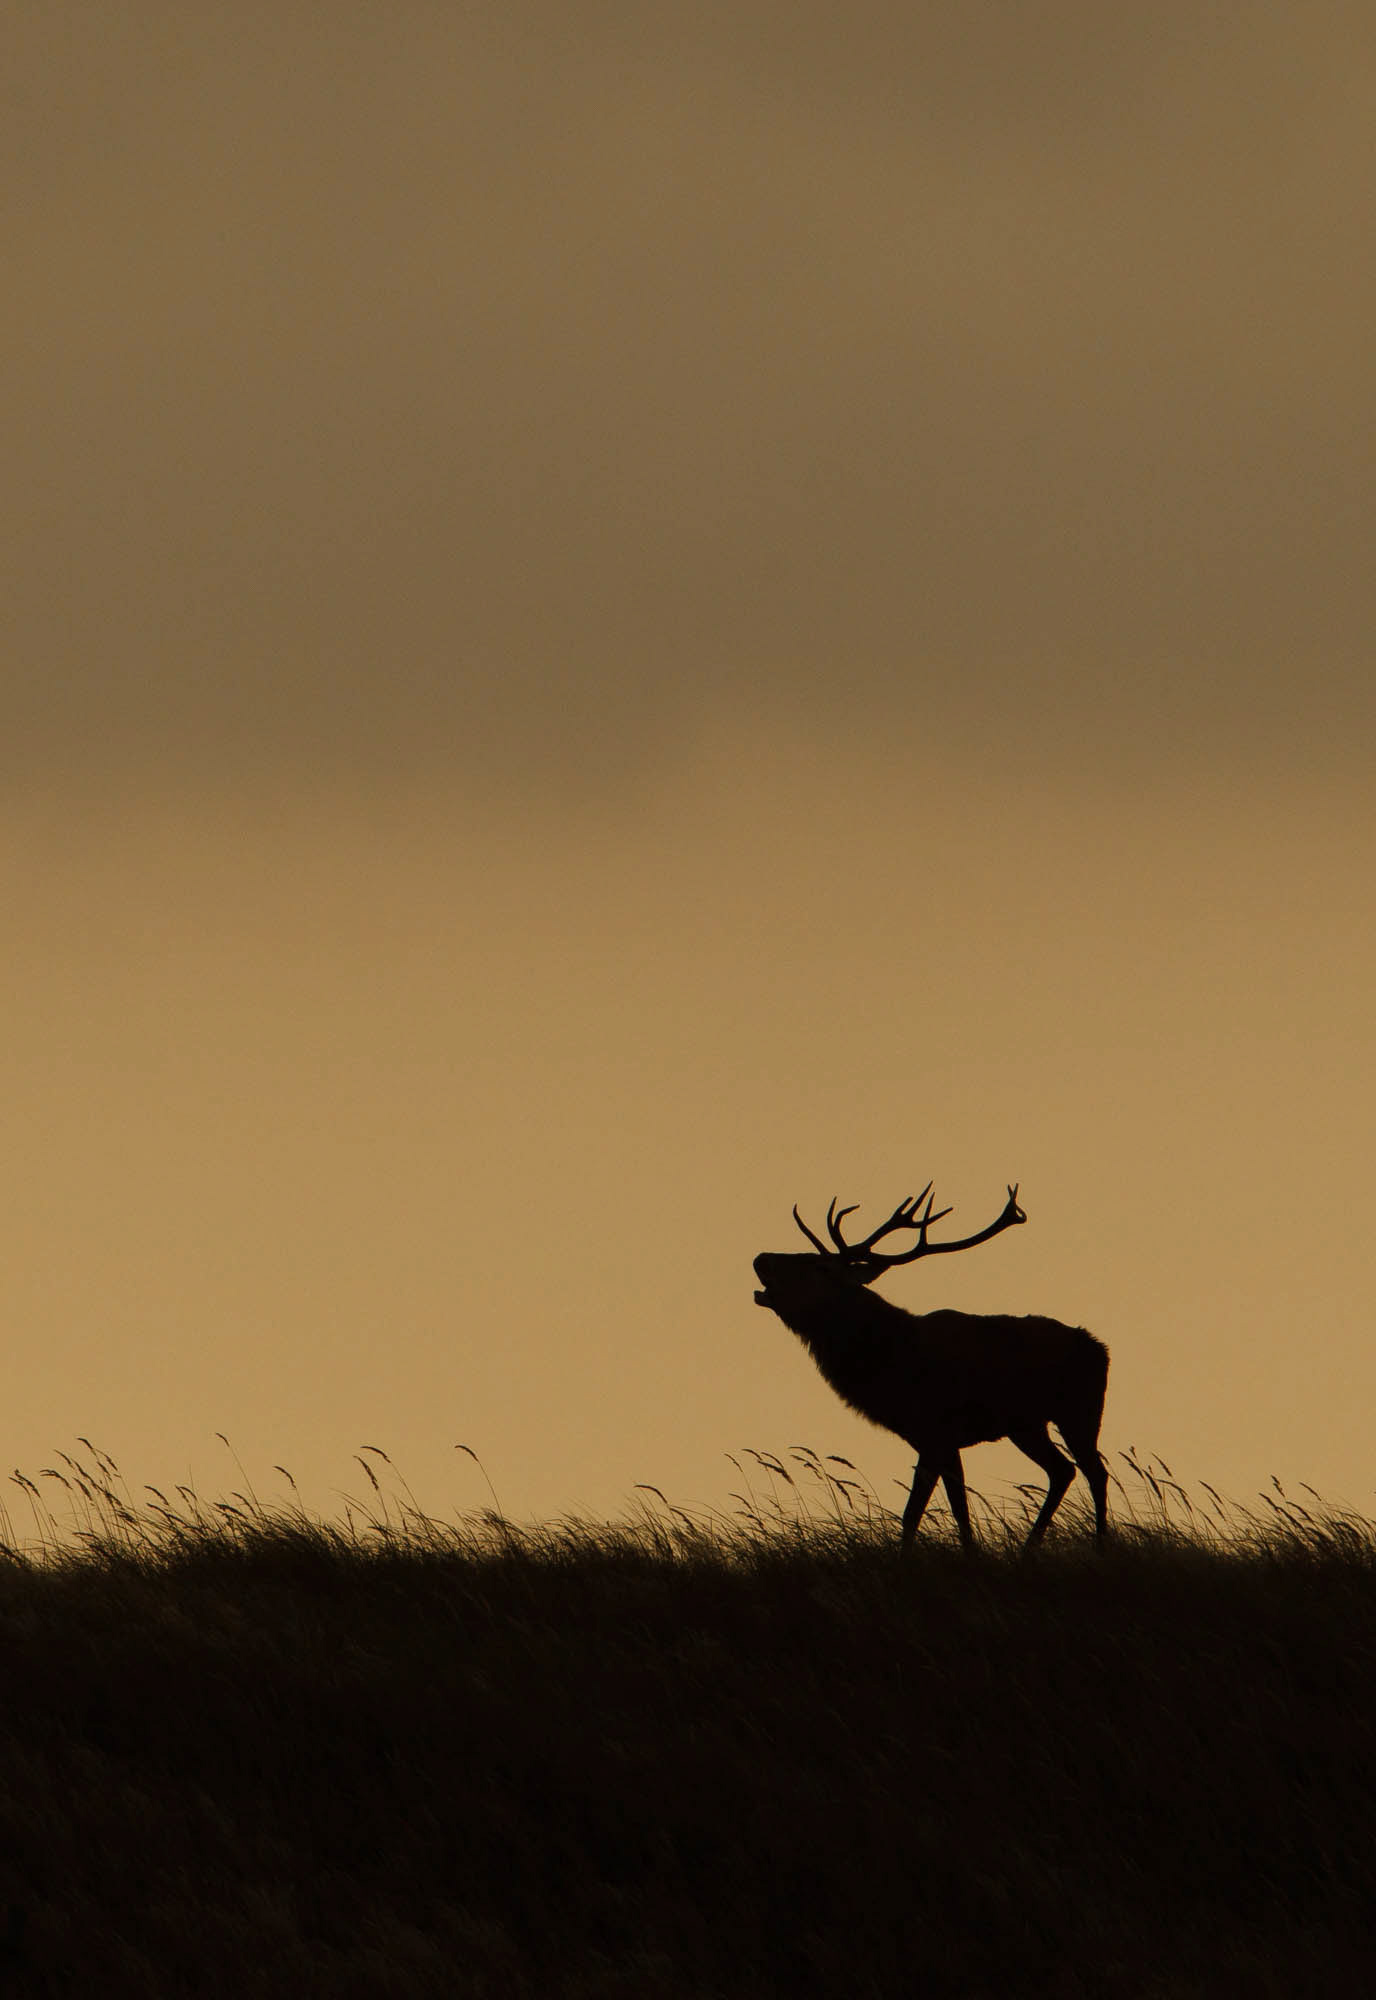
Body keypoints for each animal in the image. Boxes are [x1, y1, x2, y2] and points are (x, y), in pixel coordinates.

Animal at [752, 1182, 1109, 1552]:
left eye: (817, 1265)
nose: (760, 1258)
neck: (889, 1363)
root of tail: (1098, 1348)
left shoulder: (936, 1432)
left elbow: (916, 1514)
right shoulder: (938, 1441)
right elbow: (955, 1512)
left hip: (1079, 1410)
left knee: (1095, 1472)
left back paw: (1100, 1544)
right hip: (1027, 1424)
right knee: (1063, 1470)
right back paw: (1028, 1551)